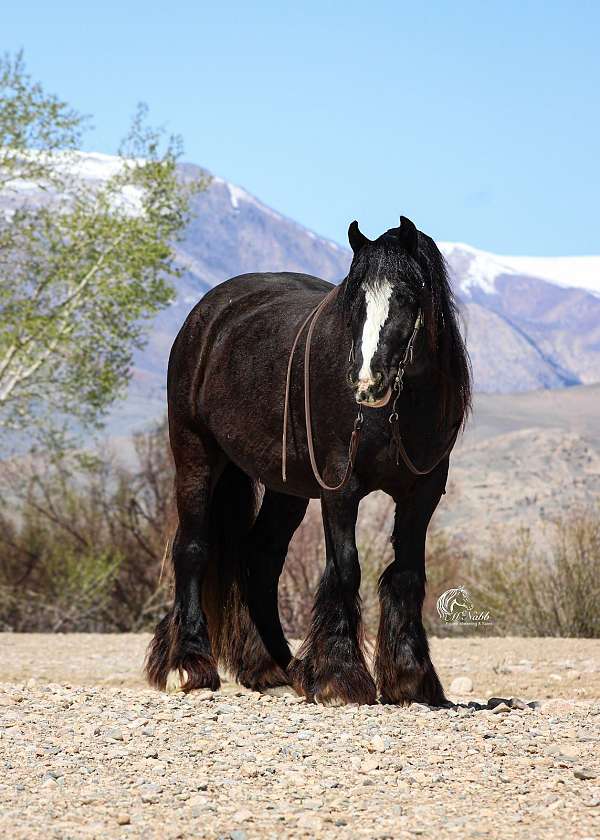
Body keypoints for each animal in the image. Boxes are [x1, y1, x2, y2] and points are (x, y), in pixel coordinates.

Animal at [145, 215, 471, 706]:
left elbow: (406, 574)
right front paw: (340, 675)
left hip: (286, 487)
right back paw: (189, 664)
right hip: (196, 454)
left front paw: (411, 677)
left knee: (260, 558)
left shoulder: (422, 494)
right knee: (193, 548)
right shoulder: (340, 487)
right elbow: (346, 568)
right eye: (355, 300)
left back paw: (277, 668)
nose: (367, 384)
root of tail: (206, 317)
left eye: (406, 296)